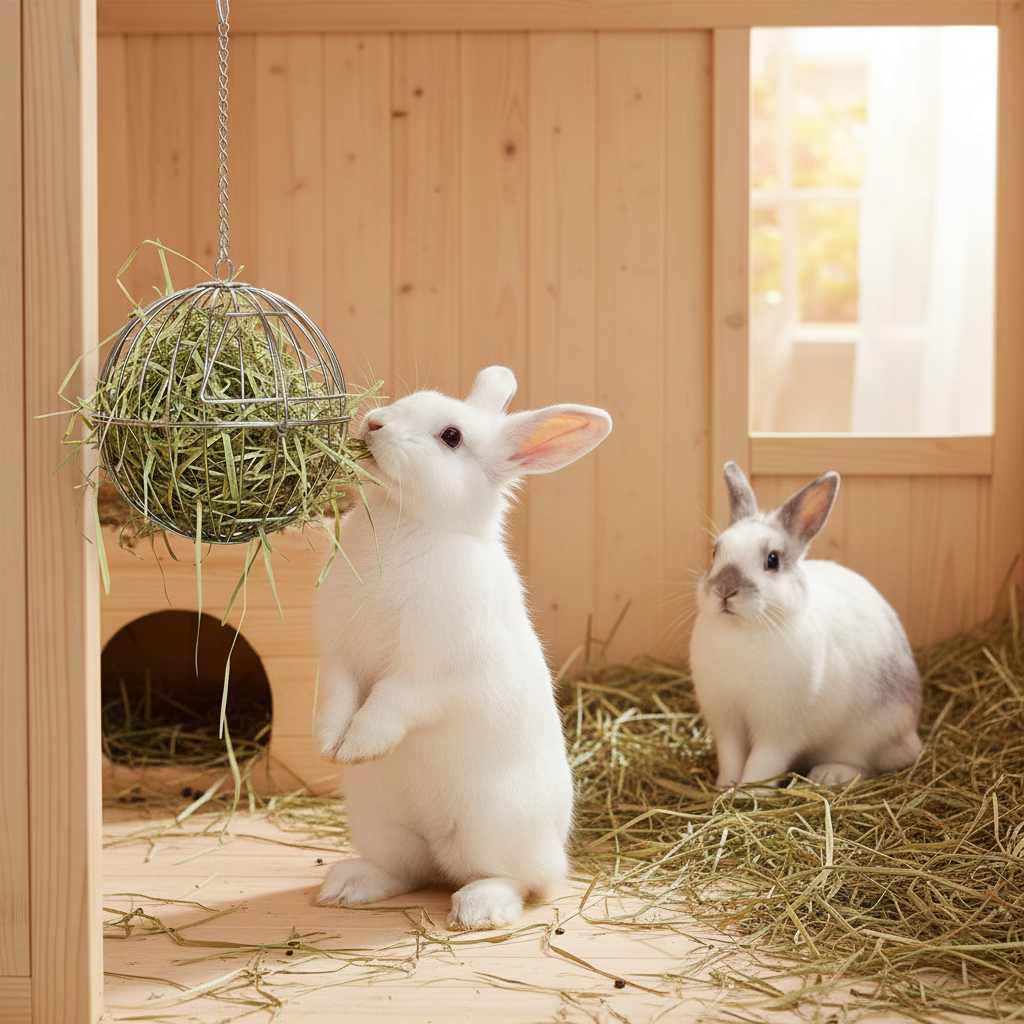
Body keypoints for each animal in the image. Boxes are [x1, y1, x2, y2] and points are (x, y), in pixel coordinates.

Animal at [313, 366, 612, 931]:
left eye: (451, 436)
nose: (374, 422)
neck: (409, 522)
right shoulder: (339, 654)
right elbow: (336, 699)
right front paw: (327, 746)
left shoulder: (430, 672)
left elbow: (389, 704)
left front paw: (359, 747)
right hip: (378, 822)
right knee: (406, 871)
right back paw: (345, 887)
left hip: (492, 826)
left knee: (519, 881)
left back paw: (479, 909)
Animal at [689, 462, 922, 789]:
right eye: (715, 553)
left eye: (773, 560)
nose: (725, 591)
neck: (744, 632)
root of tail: (911, 732)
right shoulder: (727, 724)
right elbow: (732, 757)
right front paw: (725, 786)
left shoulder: (778, 730)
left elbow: (763, 763)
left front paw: (749, 792)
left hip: (867, 736)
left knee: (875, 763)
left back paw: (829, 774)